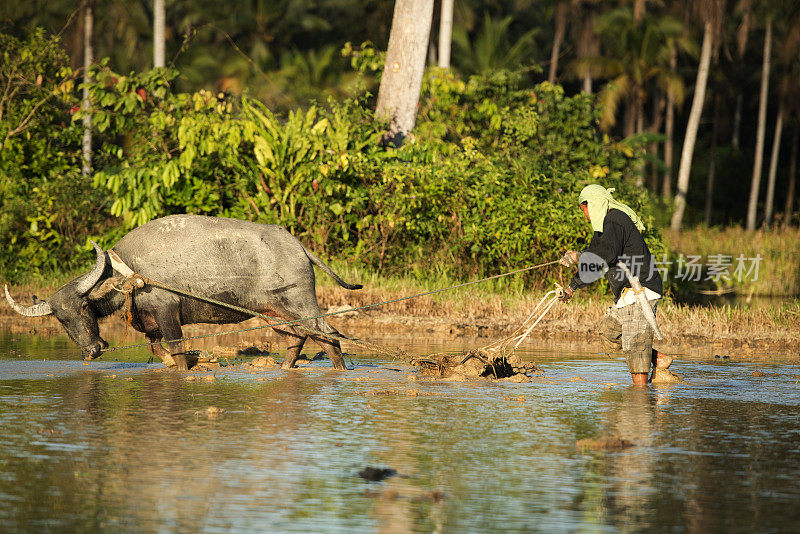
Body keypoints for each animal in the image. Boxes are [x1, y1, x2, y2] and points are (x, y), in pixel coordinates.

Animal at [4, 216, 360, 370]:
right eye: (61, 320)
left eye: (82, 309)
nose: (92, 351)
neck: (130, 273)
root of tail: (300, 247)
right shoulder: (149, 322)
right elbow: (157, 348)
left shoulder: (167, 312)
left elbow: (176, 348)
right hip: (274, 312)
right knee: (297, 338)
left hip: (302, 303)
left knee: (329, 336)